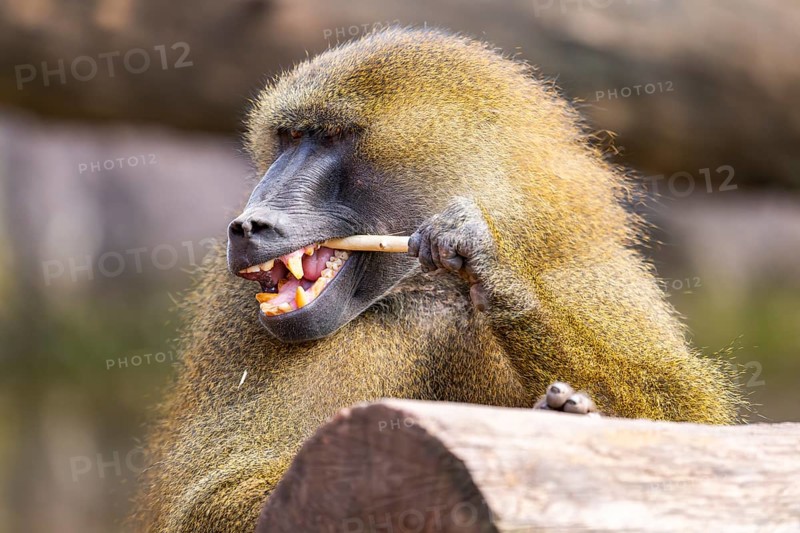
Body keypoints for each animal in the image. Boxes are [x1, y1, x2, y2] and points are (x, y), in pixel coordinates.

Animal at [132, 27, 742, 532]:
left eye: (329, 138)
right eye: (287, 138)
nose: (248, 226)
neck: (425, 290)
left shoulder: (586, 271)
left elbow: (688, 432)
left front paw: (496, 273)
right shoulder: (237, 315)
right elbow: (212, 497)